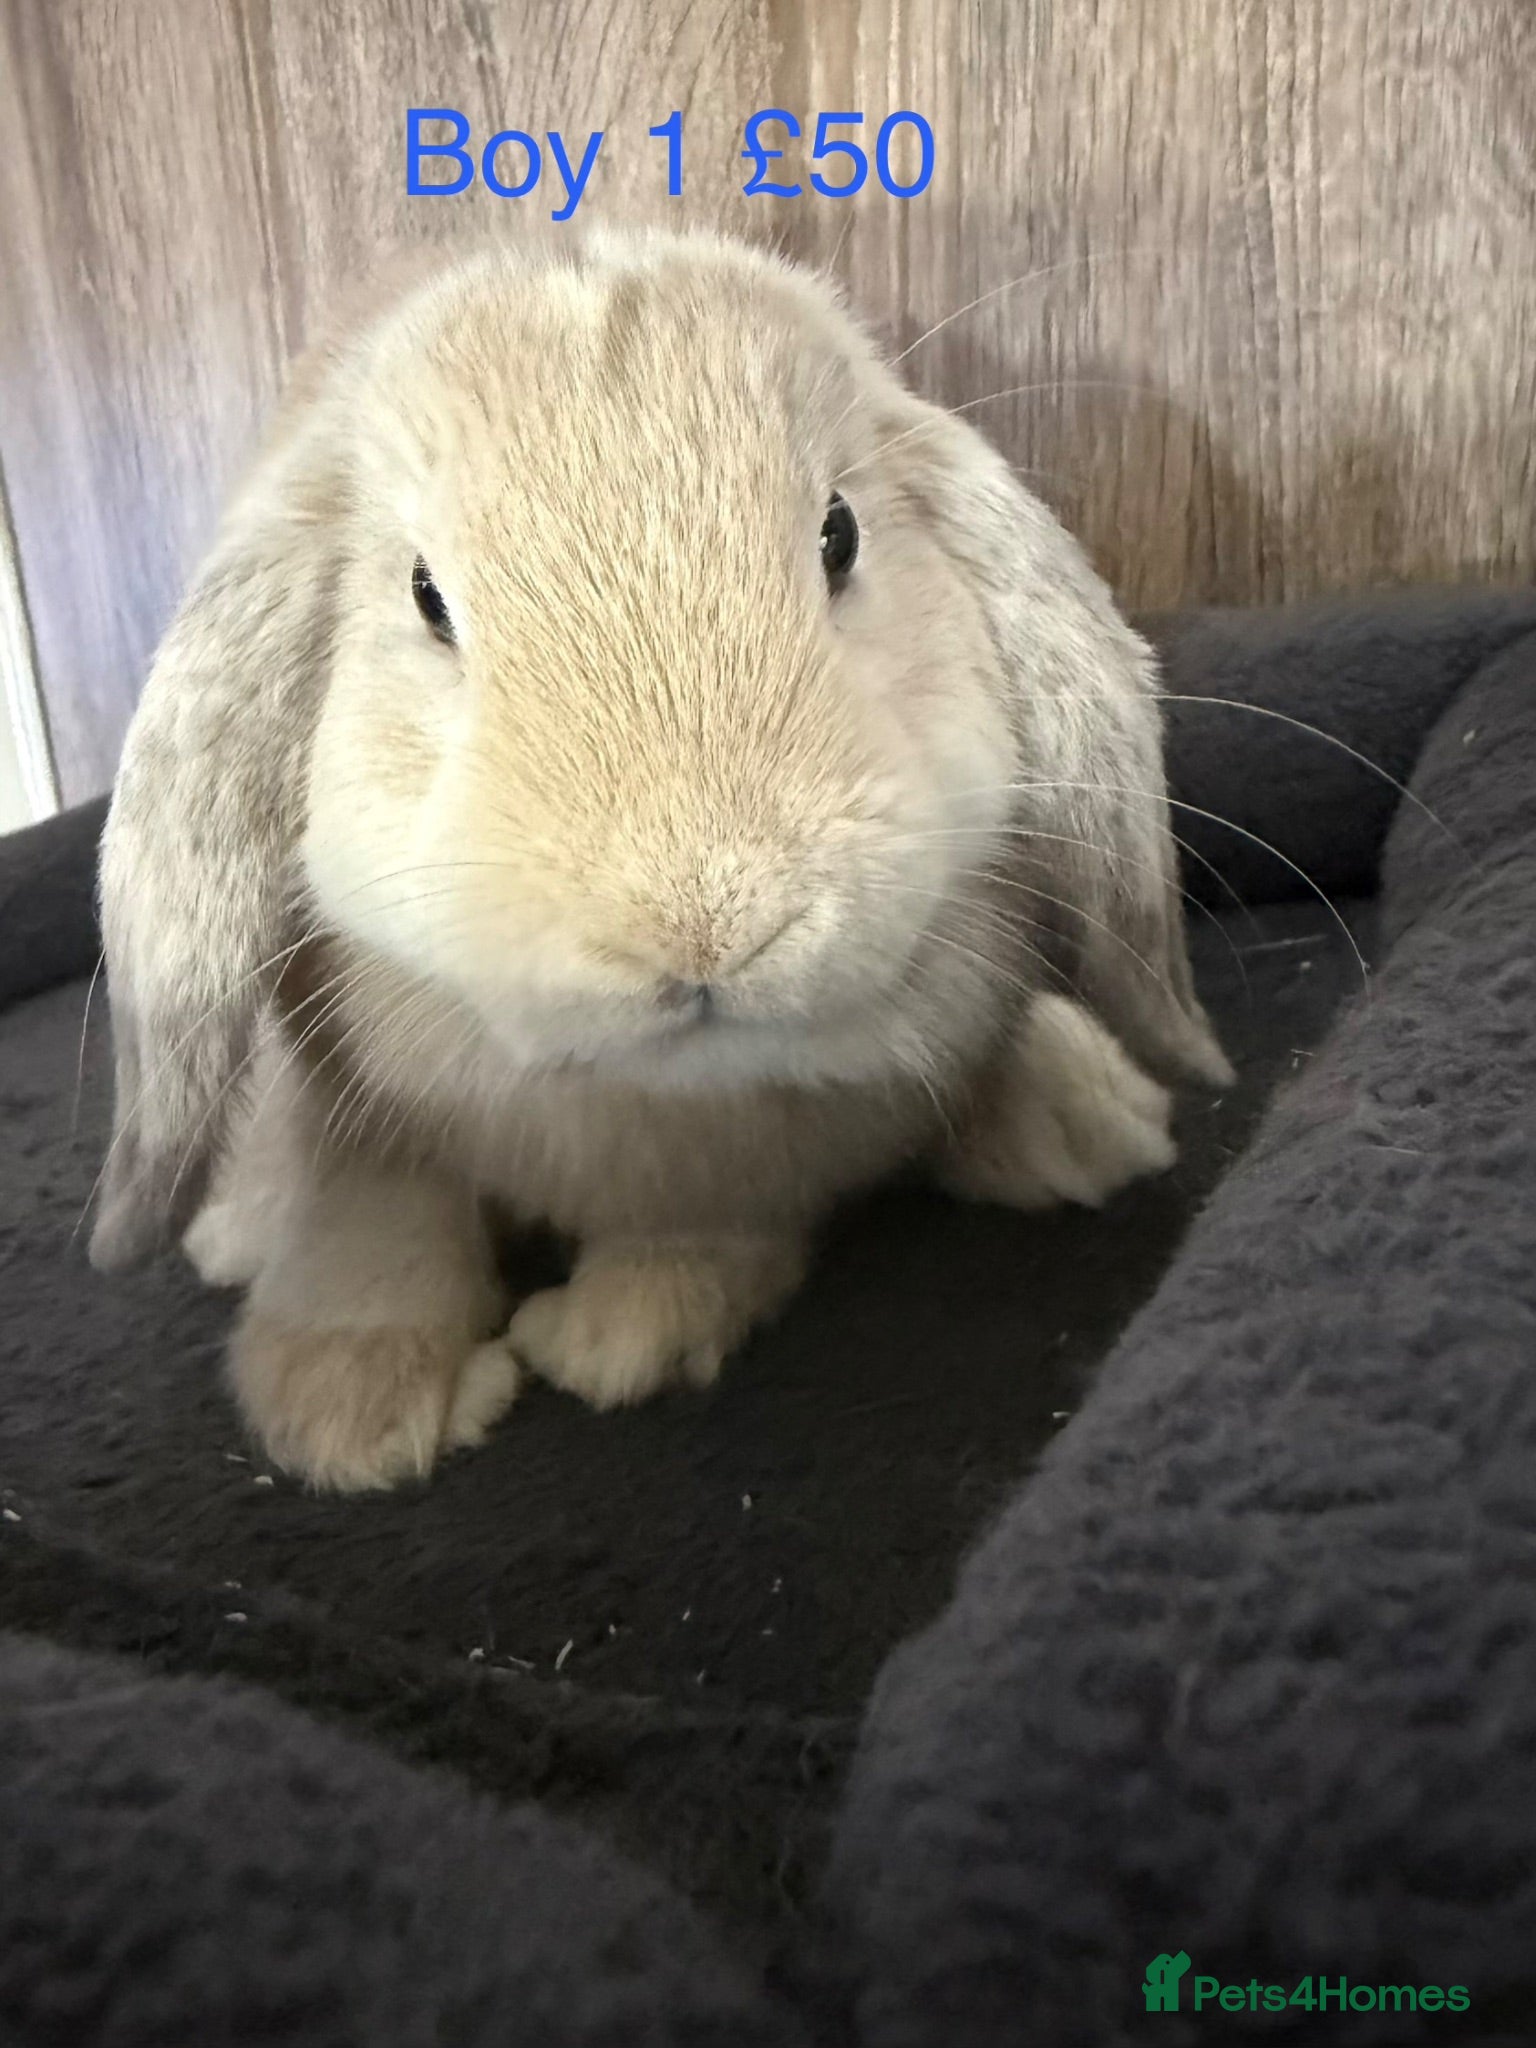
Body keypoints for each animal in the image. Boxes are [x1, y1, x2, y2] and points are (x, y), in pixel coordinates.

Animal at [90, 225, 1232, 1492]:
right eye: (427, 595)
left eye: (839, 532)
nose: (707, 925)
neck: (645, 1091)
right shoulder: (349, 1104)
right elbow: (370, 1222)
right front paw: (357, 1409)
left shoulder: (750, 1167)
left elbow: (700, 1245)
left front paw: (607, 1338)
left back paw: (1083, 1120)